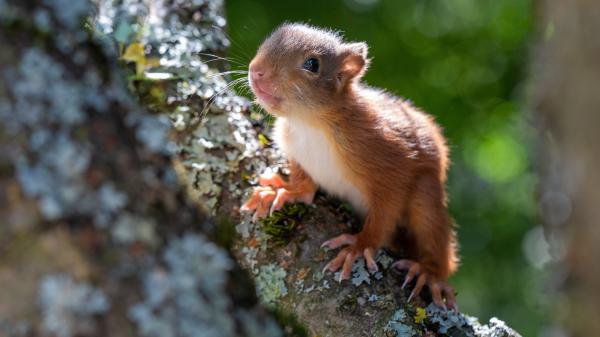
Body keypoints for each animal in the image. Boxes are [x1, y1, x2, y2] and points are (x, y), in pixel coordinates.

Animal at [239, 22, 460, 308]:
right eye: (265, 43)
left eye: (312, 64)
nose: (256, 70)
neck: (309, 123)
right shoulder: (295, 150)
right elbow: (303, 183)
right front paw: (285, 191)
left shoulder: (389, 160)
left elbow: (385, 211)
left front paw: (358, 246)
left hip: (426, 194)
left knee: (434, 235)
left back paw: (429, 273)